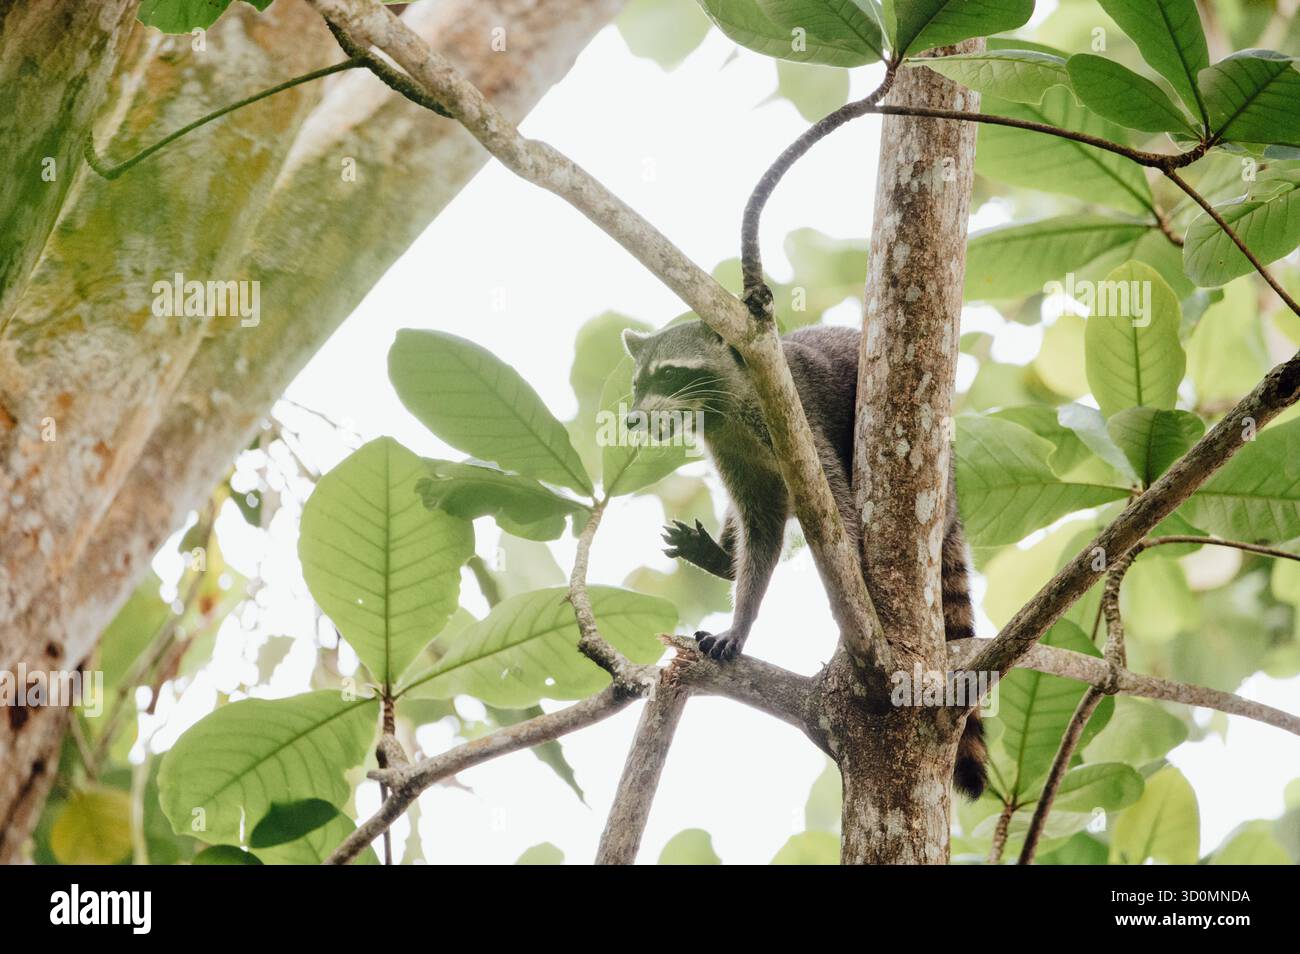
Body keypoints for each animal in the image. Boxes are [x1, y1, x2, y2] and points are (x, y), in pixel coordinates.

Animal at [622, 320, 986, 799]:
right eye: (636, 384)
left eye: (667, 374)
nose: (630, 419)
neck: (719, 410)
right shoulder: (732, 450)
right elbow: (759, 528)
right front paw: (741, 609)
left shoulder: (797, 416)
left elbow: (835, 504)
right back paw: (721, 556)